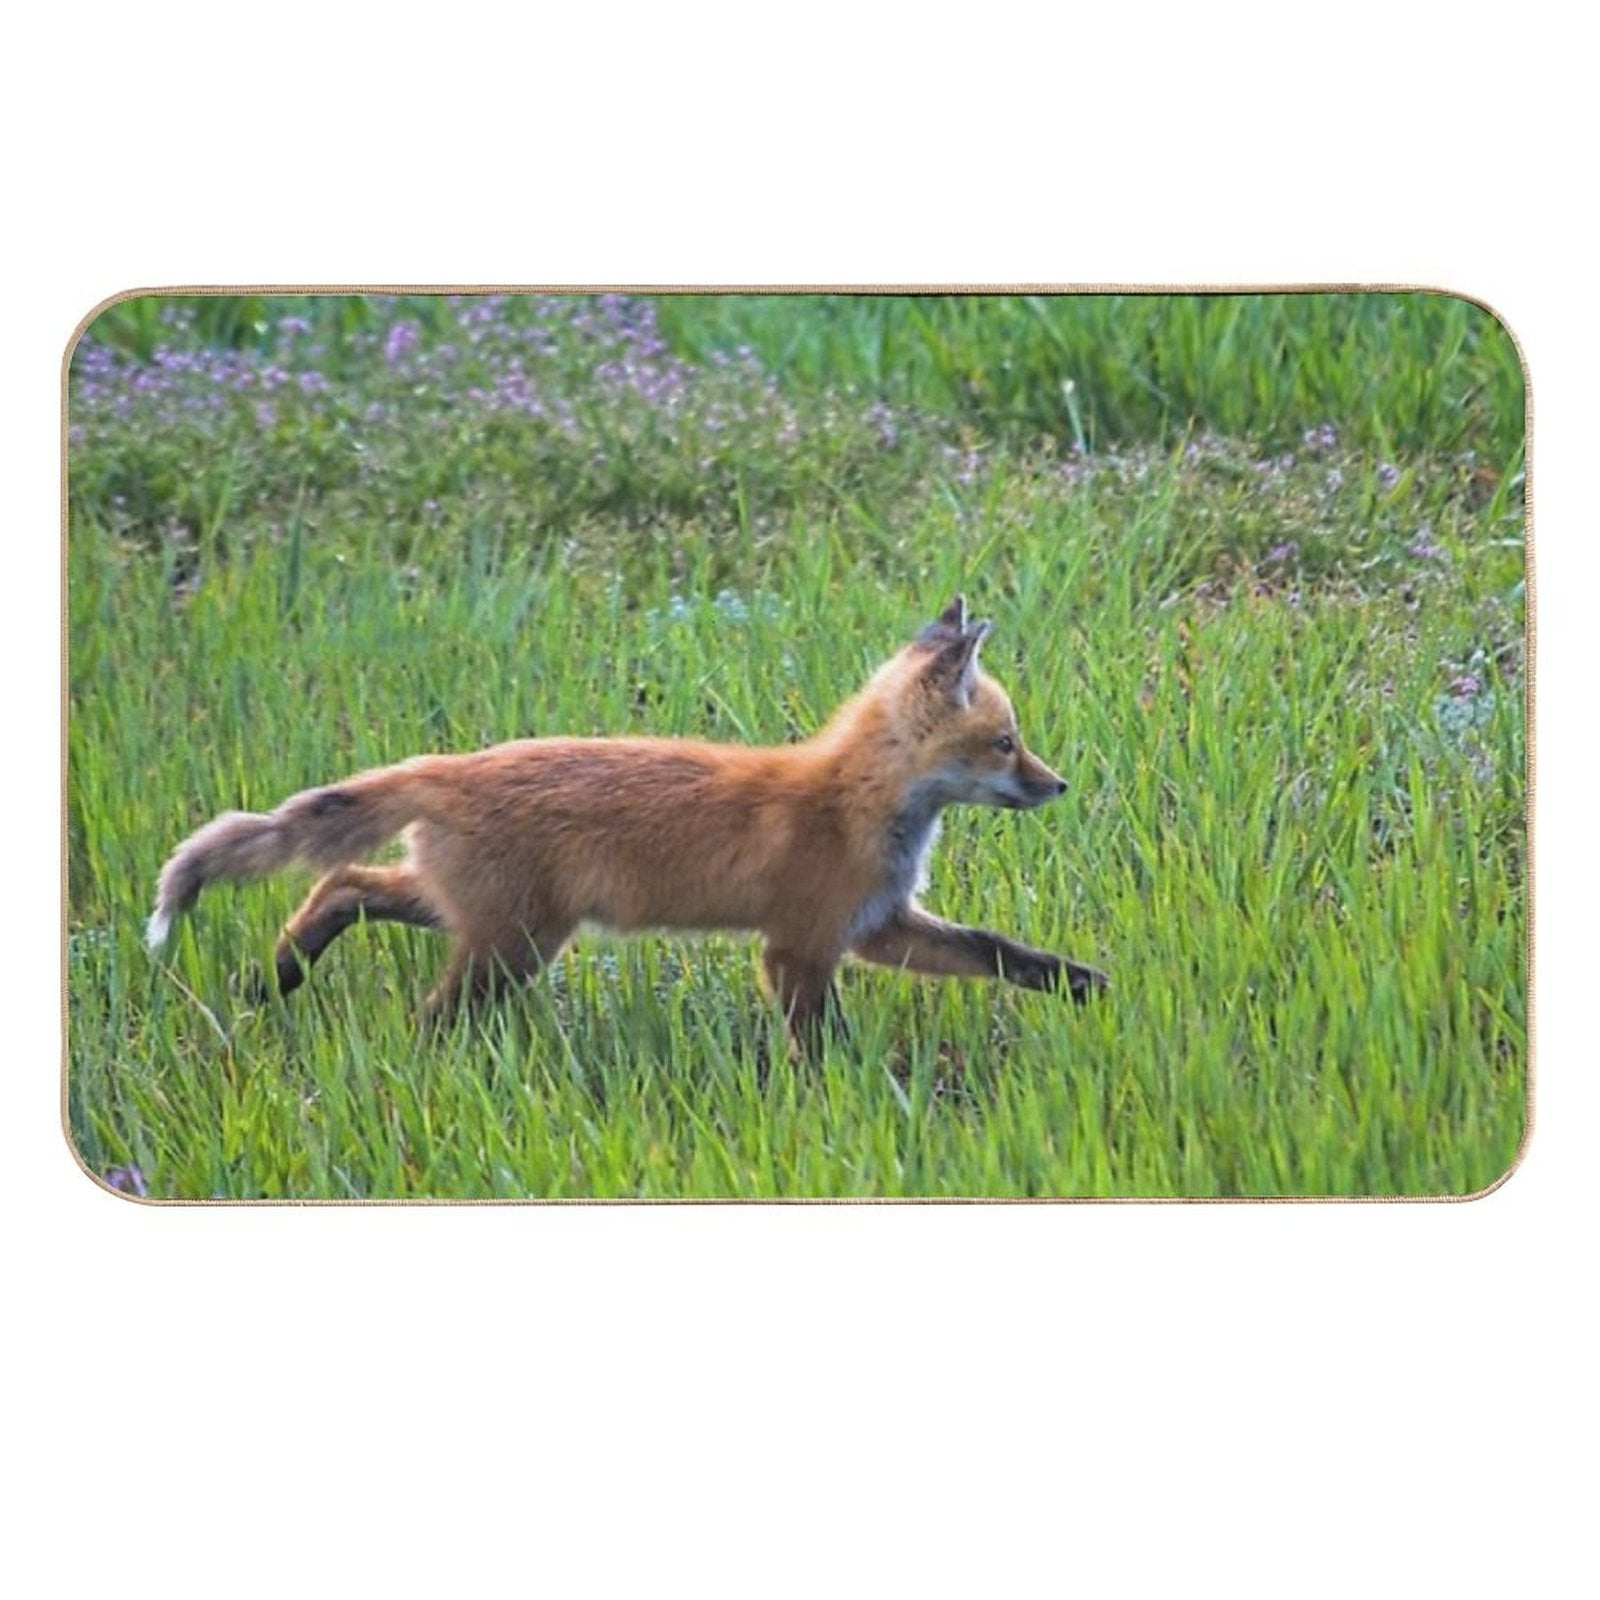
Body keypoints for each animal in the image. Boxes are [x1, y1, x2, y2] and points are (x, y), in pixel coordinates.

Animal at [146, 596, 1107, 1045]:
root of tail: (448, 765)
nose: (1060, 784)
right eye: (1007, 743)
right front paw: (845, 1098)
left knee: (343, 883)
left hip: (479, 917)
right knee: (427, 1004)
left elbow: (992, 950)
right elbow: (820, 1042)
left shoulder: (876, 927)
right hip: (514, 945)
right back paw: (412, 1060)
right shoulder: (799, 946)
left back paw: (274, 977)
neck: (854, 805)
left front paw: (1074, 982)